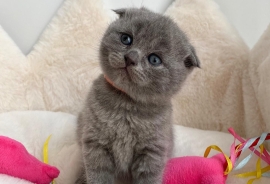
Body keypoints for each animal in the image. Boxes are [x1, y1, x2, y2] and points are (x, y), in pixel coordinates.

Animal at [75, 7, 199, 184]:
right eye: (126, 39)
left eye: (154, 59)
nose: (130, 57)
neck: (126, 104)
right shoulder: (96, 143)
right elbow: (98, 175)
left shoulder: (152, 153)